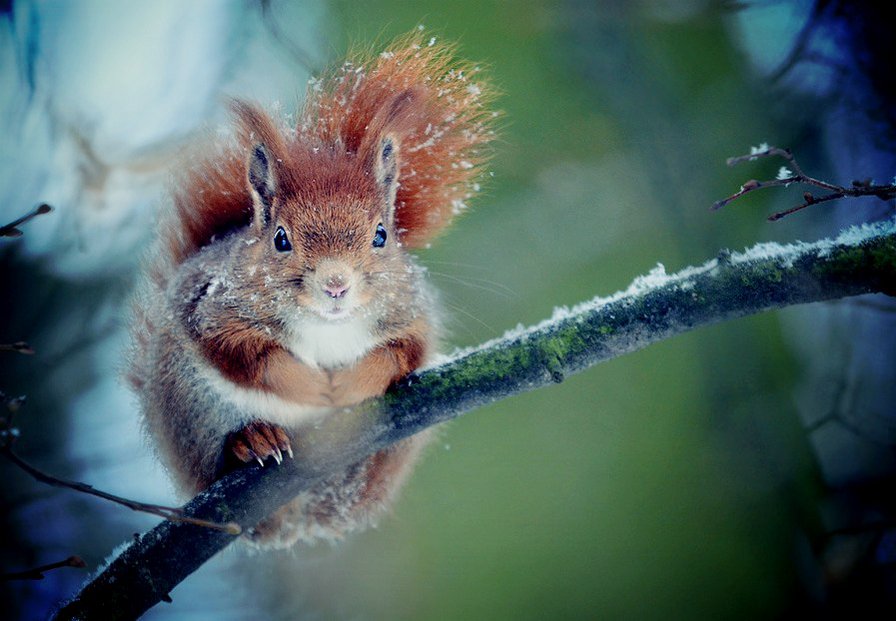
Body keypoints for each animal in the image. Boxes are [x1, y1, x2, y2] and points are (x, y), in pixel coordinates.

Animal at [127, 31, 496, 547]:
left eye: (381, 235)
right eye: (281, 238)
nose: (336, 285)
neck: (327, 326)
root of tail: (302, 521)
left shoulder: (411, 315)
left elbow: (400, 354)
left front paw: (350, 385)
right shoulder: (211, 310)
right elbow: (249, 357)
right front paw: (313, 389)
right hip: (190, 407)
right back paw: (251, 441)